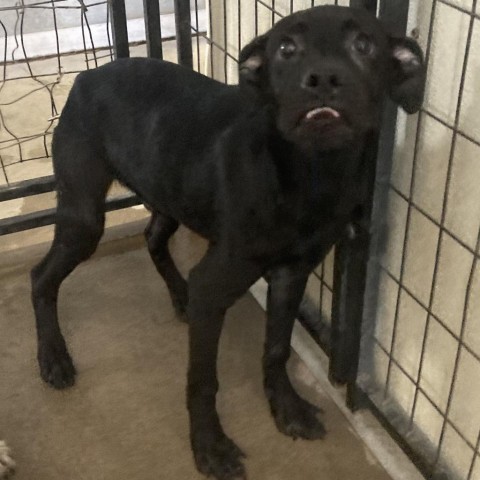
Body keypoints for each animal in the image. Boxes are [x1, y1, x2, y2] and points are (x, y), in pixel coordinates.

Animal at [31, 4, 426, 480]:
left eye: (364, 44)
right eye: (286, 48)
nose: (323, 79)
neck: (307, 174)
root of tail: (88, 74)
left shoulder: (291, 275)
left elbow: (276, 349)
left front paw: (287, 408)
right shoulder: (217, 282)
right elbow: (203, 380)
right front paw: (209, 446)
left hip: (167, 193)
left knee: (152, 238)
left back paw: (180, 296)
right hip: (84, 217)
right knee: (41, 277)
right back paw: (53, 357)